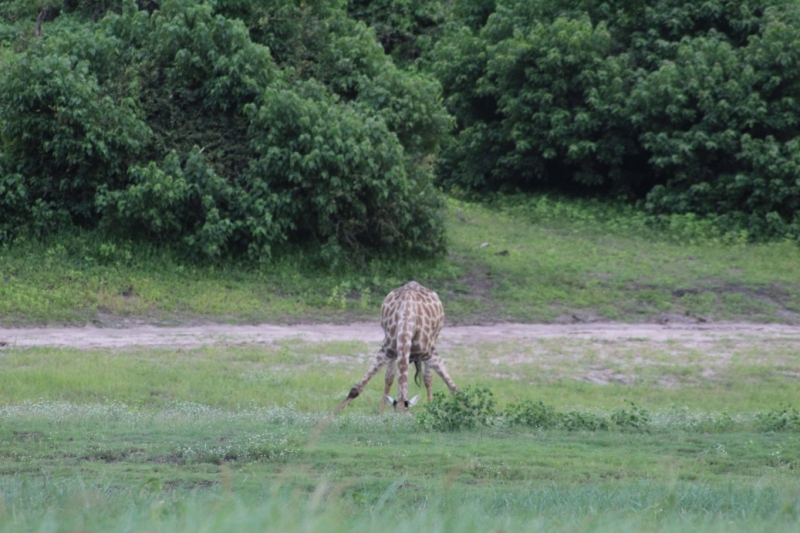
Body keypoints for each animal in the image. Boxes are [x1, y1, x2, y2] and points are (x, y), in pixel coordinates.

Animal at [334, 280, 456, 414]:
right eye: (394, 416)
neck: (407, 320)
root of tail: (414, 282)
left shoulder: (430, 354)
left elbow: (454, 389)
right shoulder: (386, 351)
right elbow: (356, 389)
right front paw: (331, 416)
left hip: (433, 341)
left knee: (427, 378)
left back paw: (431, 406)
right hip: (392, 351)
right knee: (390, 377)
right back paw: (381, 412)